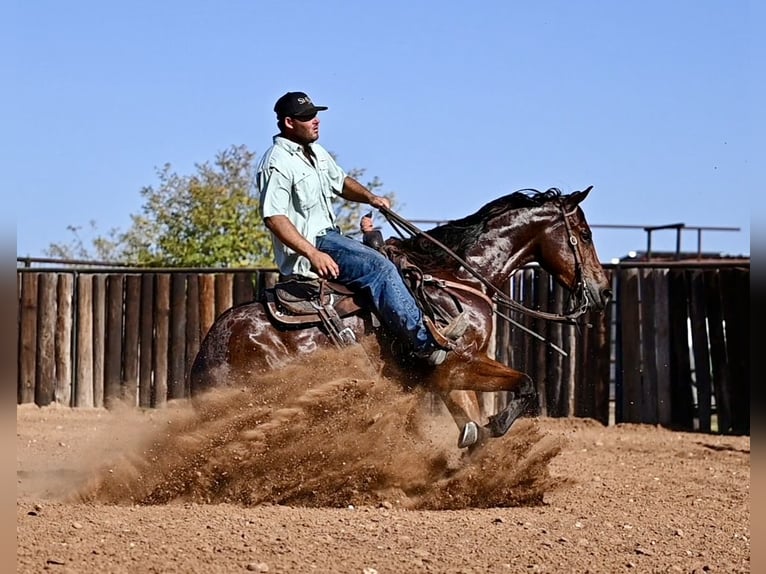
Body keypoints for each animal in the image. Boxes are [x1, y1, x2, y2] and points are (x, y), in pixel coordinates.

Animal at [189, 189, 616, 450]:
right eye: (584, 233)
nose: (604, 290)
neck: (456, 277)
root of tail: (208, 353)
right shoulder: (458, 364)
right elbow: (525, 386)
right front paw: (492, 430)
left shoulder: (452, 376)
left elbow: (470, 418)